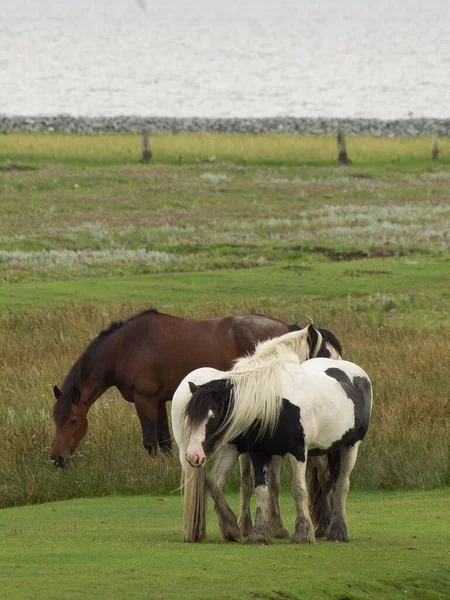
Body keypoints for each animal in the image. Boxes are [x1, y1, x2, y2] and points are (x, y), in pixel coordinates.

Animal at [50, 310, 342, 468]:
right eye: (56, 421)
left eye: (73, 420)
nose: (56, 458)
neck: (127, 347)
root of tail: (286, 327)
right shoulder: (158, 402)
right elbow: (164, 441)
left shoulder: (145, 402)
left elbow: (150, 442)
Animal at [171, 326, 370, 548]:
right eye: (326, 351)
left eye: (212, 416)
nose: (194, 455)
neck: (271, 401)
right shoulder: (259, 452)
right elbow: (262, 489)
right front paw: (261, 531)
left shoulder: (294, 452)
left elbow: (293, 489)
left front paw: (296, 532)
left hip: (350, 445)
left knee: (342, 484)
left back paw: (337, 530)